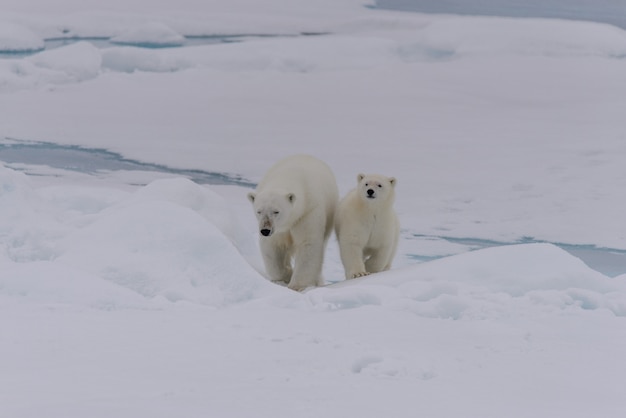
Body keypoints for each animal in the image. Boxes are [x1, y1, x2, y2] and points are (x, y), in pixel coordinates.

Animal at [247, 154, 338, 290]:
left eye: (276, 211)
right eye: (259, 211)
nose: (265, 230)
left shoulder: (308, 212)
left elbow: (308, 243)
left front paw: (297, 285)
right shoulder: (278, 230)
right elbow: (273, 246)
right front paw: (286, 275)